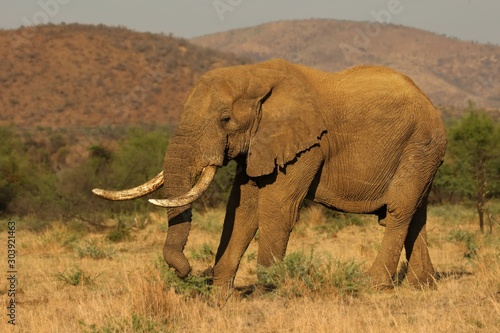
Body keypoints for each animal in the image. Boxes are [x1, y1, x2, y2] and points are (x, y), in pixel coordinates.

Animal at [93, 59, 446, 296]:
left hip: (421, 145)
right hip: (423, 152)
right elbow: (242, 209)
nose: (191, 272)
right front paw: (220, 297)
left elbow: (276, 208)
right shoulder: (258, 144)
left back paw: (373, 285)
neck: (254, 74)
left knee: (398, 211)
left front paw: (267, 293)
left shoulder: (307, 146)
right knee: (414, 213)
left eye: (225, 119)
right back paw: (422, 285)